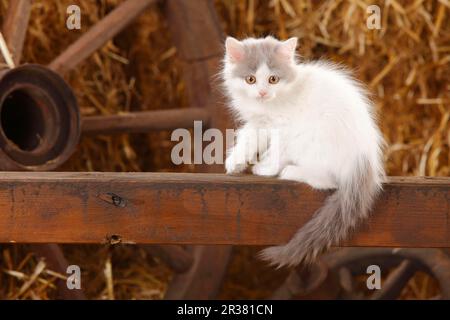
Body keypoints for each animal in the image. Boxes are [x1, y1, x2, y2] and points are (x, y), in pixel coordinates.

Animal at [220, 35, 384, 268]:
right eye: (250, 79)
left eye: (273, 79)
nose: (262, 92)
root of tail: (364, 163)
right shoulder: (260, 123)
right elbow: (248, 139)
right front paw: (236, 163)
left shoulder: (285, 129)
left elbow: (276, 152)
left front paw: (265, 169)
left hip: (315, 142)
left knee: (327, 181)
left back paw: (290, 171)